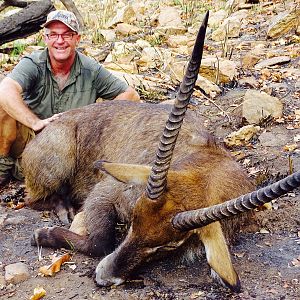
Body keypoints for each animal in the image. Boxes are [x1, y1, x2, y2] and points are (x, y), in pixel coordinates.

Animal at [22, 12, 300, 292]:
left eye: (168, 244)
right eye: (134, 219)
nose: (104, 277)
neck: (206, 162)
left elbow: (101, 244)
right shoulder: (105, 191)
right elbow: (100, 243)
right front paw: (42, 234)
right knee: (32, 199)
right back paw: (62, 208)